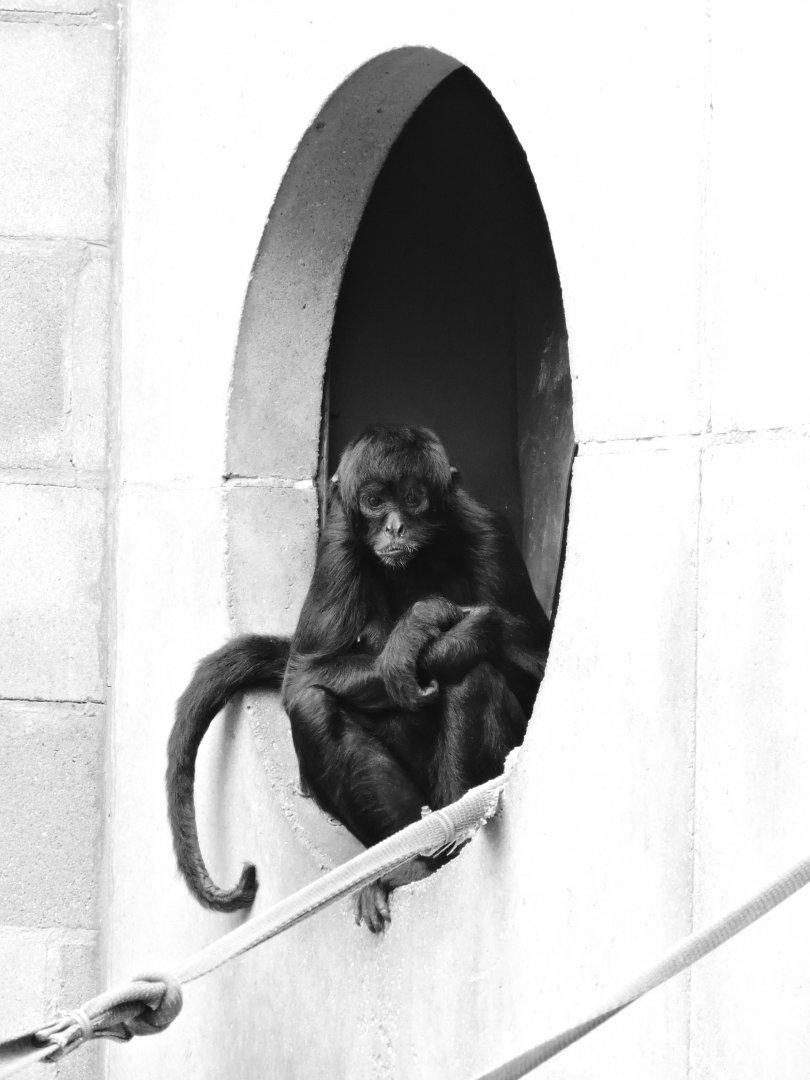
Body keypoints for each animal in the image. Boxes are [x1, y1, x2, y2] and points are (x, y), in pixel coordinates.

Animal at [167, 424, 550, 931]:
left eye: (413, 498)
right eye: (373, 501)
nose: (395, 527)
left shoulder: (488, 530)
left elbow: (537, 660)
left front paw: (453, 639)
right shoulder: (339, 541)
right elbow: (305, 673)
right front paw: (417, 634)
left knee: (478, 677)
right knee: (312, 703)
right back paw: (408, 863)